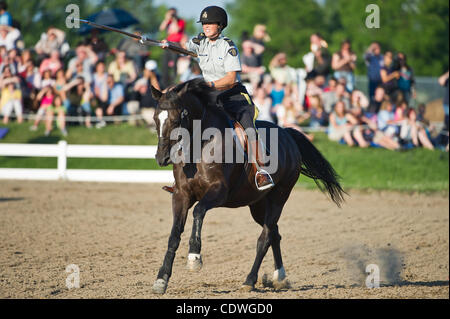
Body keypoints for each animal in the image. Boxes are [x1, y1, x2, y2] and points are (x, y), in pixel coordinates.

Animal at [149, 79, 342, 294]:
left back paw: (250, 280)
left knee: (264, 238)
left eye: (176, 119)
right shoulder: (181, 195)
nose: (162, 158)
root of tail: (287, 134)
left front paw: (194, 257)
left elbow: (198, 211)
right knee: (274, 233)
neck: (201, 145)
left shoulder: (218, 191)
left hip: (279, 197)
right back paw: (280, 277)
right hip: (258, 205)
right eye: (155, 118)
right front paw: (161, 280)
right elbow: (174, 235)